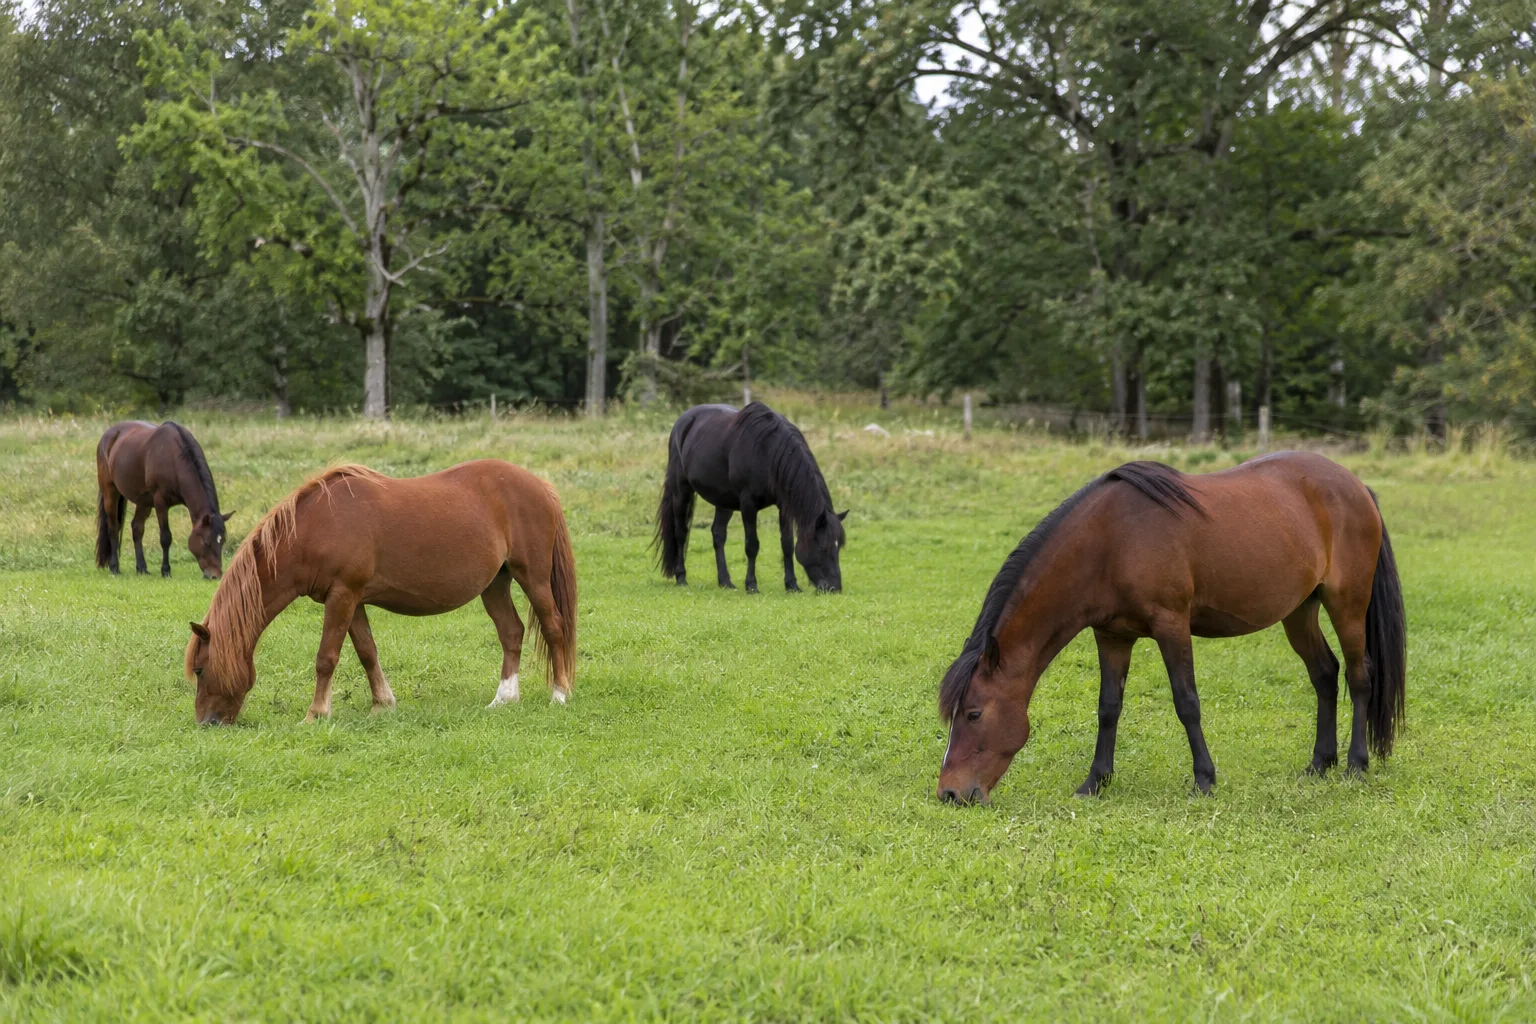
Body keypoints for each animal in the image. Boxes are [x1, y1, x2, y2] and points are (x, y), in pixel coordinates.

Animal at [96, 421, 235, 579]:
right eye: (206, 543)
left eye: (223, 541)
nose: (215, 575)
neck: (174, 459)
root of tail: (108, 435)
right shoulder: (160, 502)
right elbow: (165, 537)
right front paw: (166, 570)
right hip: (110, 493)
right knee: (113, 527)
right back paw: (114, 568)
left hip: (144, 502)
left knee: (137, 528)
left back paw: (142, 568)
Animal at [184, 461, 577, 726]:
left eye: (201, 670)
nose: (207, 723)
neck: (313, 528)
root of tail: (541, 486)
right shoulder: (351, 600)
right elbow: (367, 652)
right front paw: (382, 704)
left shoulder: (343, 595)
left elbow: (326, 657)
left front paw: (315, 714)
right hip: (496, 584)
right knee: (511, 632)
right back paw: (504, 699)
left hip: (533, 578)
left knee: (553, 626)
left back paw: (560, 694)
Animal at [654, 402, 847, 593]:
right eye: (822, 547)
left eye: (839, 547)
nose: (834, 588)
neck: (767, 452)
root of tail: (682, 421)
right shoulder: (748, 504)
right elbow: (752, 545)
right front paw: (751, 585)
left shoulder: (783, 506)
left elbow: (787, 544)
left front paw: (792, 585)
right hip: (681, 492)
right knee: (681, 533)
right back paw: (681, 578)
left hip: (723, 501)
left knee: (718, 534)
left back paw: (725, 582)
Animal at [936, 452, 1406, 805]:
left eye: (974, 713)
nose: (950, 794)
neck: (1110, 540)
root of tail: (1357, 486)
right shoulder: (1112, 636)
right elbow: (1108, 708)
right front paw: (1095, 782)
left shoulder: (1172, 625)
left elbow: (1187, 702)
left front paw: (1204, 779)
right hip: (1300, 610)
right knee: (1325, 674)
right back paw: (1319, 763)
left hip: (1346, 604)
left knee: (1359, 677)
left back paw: (1355, 765)